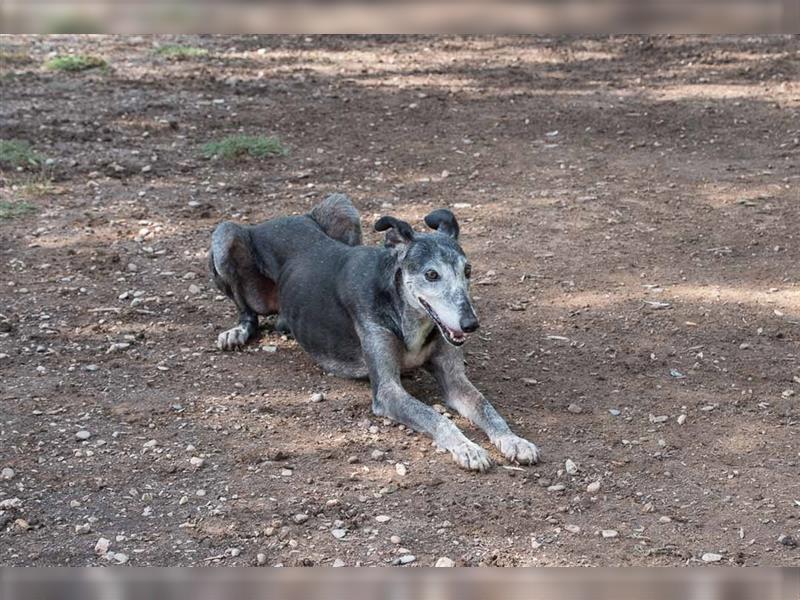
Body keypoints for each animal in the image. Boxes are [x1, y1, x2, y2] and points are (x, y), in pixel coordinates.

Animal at [209, 195, 540, 472]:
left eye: (467, 271)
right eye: (431, 274)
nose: (471, 324)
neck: (405, 309)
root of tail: (279, 218)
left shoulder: (455, 380)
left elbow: (487, 408)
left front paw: (514, 440)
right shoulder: (388, 390)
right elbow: (436, 417)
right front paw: (467, 447)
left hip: (343, 206)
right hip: (225, 236)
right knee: (245, 309)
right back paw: (238, 331)